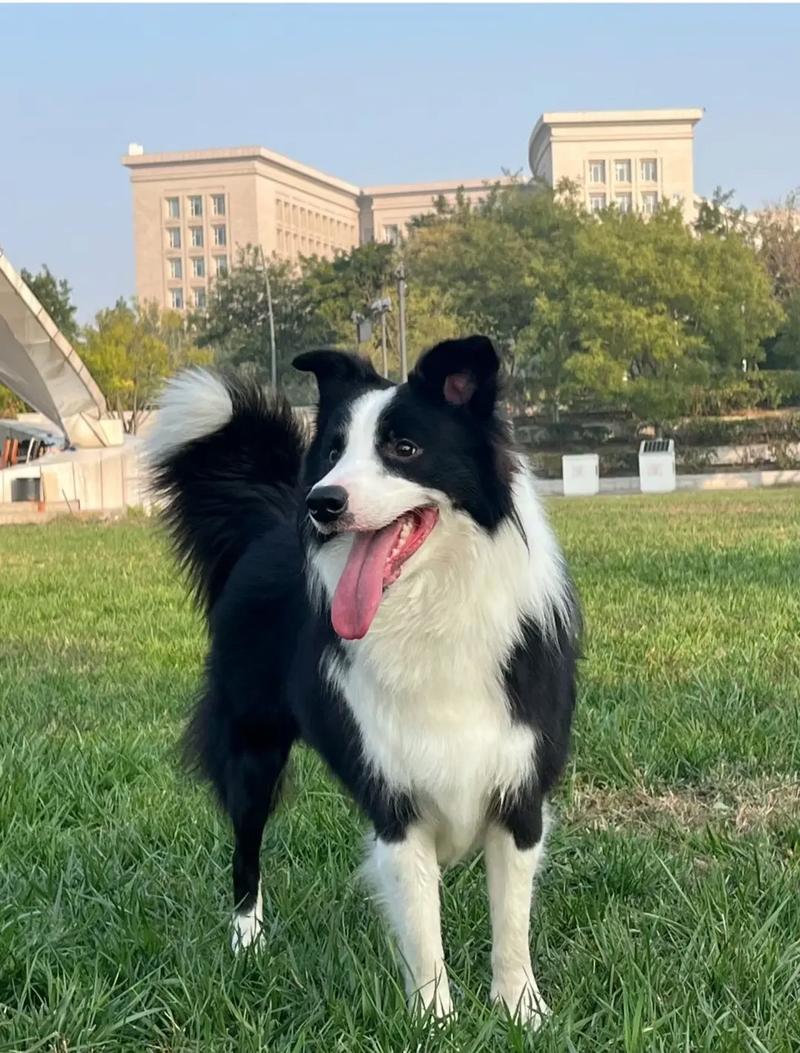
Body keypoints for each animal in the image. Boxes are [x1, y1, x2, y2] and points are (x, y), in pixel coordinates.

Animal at [148, 336, 576, 1027]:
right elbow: (423, 930)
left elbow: (511, 924)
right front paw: (434, 1021)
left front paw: (520, 1011)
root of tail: (274, 519)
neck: (432, 612)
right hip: (252, 745)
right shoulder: (394, 799)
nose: (322, 503)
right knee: (246, 846)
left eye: (403, 448)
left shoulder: (519, 792)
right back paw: (247, 941)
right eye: (331, 452)